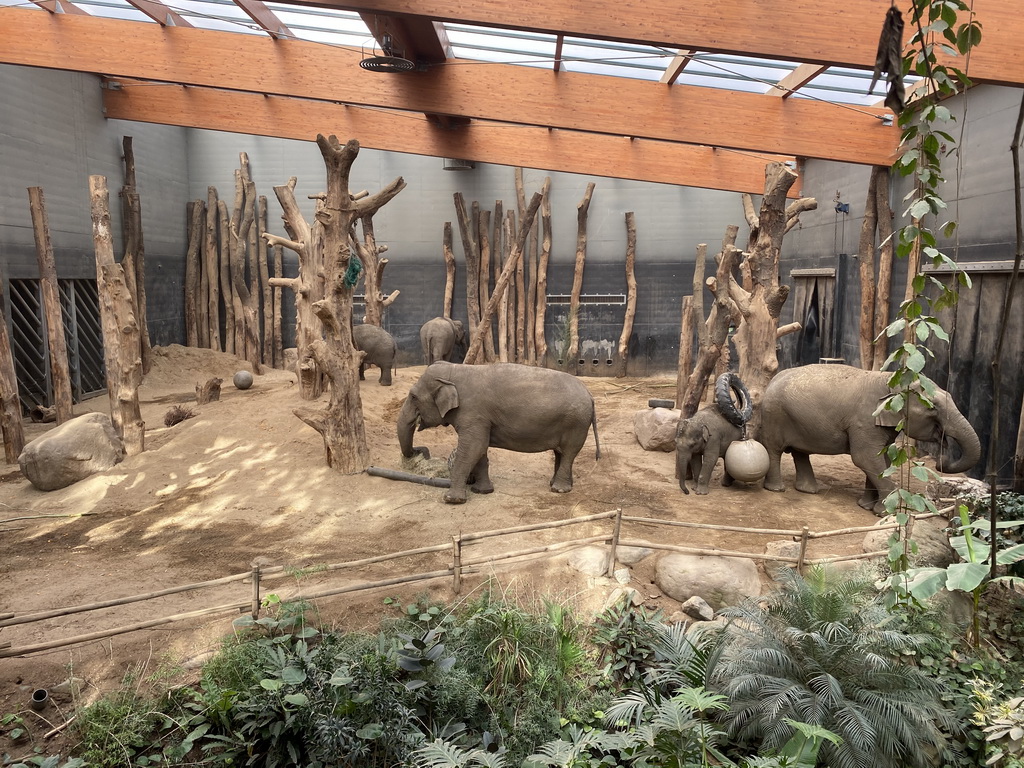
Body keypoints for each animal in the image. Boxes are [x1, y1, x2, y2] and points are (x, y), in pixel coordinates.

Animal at [393, 364, 598, 507]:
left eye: (413, 397)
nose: (418, 451)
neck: (455, 370)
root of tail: (590, 395)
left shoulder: (473, 412)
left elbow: (472, 448)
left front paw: (452, 500)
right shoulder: (481, 419)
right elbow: (480, 449)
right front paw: (482, 491)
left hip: (576, 423)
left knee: (569, 452)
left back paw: (558, 490)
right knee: (560, 453)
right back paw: (555, 483)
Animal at [761, 364, 983, 514]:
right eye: (932, 407)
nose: (940, 461)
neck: (890, 381)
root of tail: (771, 381)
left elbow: (880, 460)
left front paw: (866, 506)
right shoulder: (865, 421)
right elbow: (865, 458)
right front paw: (884, 512)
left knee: (800, 452)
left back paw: (808, 491)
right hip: (774, 415)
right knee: (774, 450)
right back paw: (777, 489)